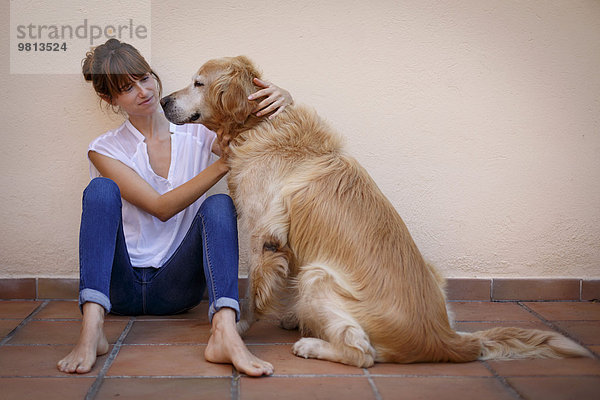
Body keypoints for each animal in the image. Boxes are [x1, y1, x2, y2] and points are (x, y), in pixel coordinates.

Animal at [161, 57, 592, 368]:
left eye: (198, 83)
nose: (164, 100)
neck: (258, 125)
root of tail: (448, 340)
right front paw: (290, 315)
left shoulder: (261, 234)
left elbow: (252, 290)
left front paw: (241, 326)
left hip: (320, 276)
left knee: (362, 354)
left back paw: (311, 345)